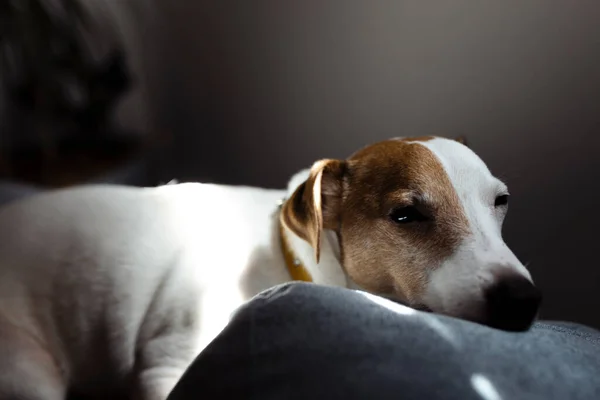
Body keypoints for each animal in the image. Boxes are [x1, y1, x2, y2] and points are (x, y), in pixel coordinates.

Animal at [0, 136, 540, 398]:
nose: (524, 300)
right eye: (406, 215)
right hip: (29, 370)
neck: (288, 260)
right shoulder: (167, 365)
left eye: (502, 201)